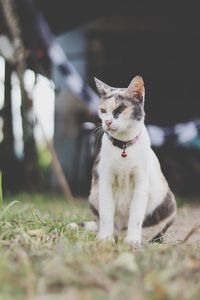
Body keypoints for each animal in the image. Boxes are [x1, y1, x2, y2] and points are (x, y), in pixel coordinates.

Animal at [87, 75, 177, 246]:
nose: (107, 122)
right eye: (103, 111)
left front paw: (133, 240)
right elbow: (106, 214)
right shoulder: (106, 182)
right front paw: (105, 238)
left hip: (169, 201)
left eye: (120, 109)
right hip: (93, 195)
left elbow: (135, 216)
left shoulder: (141, 183)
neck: (124, 146)